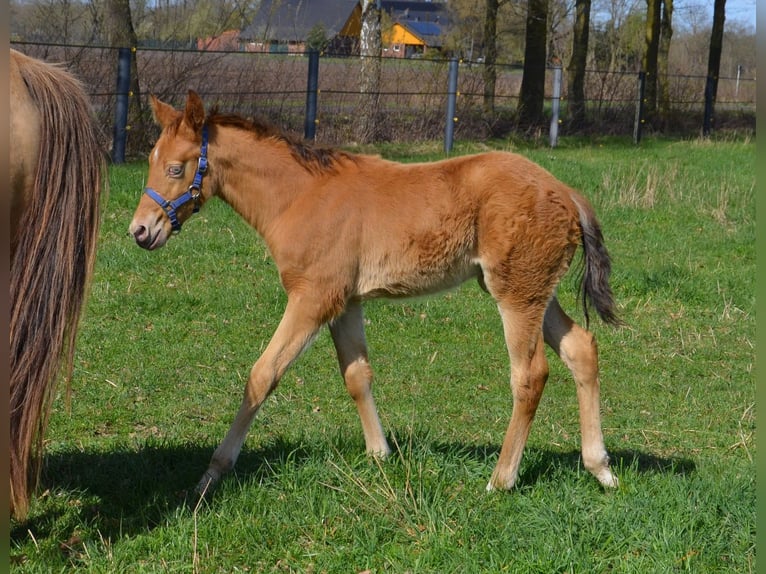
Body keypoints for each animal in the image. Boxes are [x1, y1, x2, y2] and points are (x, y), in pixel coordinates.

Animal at [129, 90, 622, 496]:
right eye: (151, 160)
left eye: (177, 167)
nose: (140, 231)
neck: (301, 195)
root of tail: (567, 192)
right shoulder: (345, 302)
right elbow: (357, 375)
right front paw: (380, 454)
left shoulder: (313, 298)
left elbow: (263, 374)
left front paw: (213, 473)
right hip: (536, 290)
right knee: (582, 348)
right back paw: (600, 468)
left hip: (516, 293)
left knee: (530, 374)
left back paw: (501, 479)